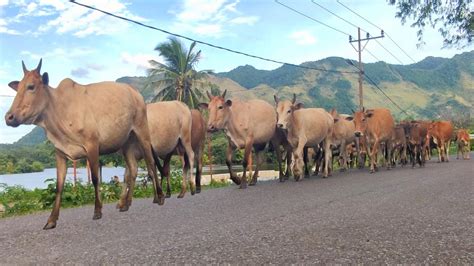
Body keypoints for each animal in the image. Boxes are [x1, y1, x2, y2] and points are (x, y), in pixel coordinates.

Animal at [4, 59, 165, 229]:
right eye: (17, 88)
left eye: (31, 86)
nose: (9, 117)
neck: (59, 112)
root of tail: (136, 94)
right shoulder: (59, 152)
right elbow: (59, 185)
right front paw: (51, 219)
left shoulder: (92, 145)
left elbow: (95, 179)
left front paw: (97, 211)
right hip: (126, 142)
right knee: (133, 170)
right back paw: (125, 204)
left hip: (143, 133)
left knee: (151, 164)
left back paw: (160, 197)